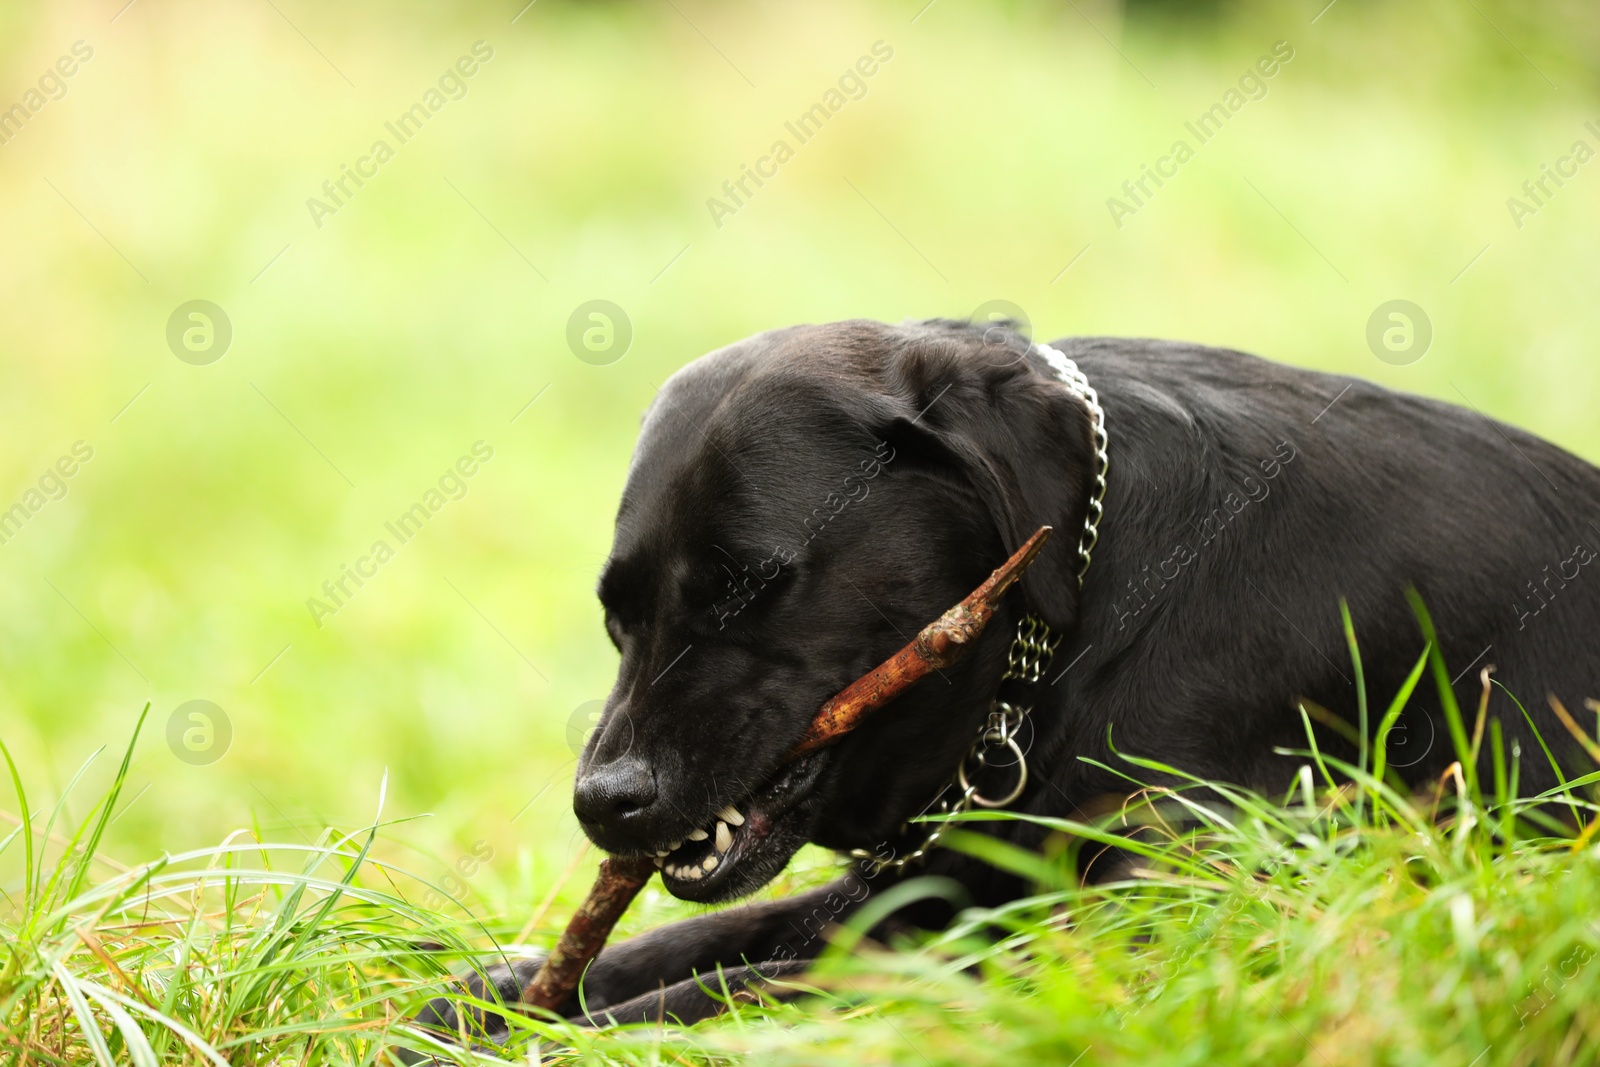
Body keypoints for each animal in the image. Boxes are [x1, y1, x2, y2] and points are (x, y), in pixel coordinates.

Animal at [416, 315, 1600, 1043]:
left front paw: (549, 1029)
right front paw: (490, 993)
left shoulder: (1133, 911)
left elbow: (732, 983)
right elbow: (695, 938)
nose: (603, 801)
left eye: (751, 584)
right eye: (616, 611)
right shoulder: (943, 878)